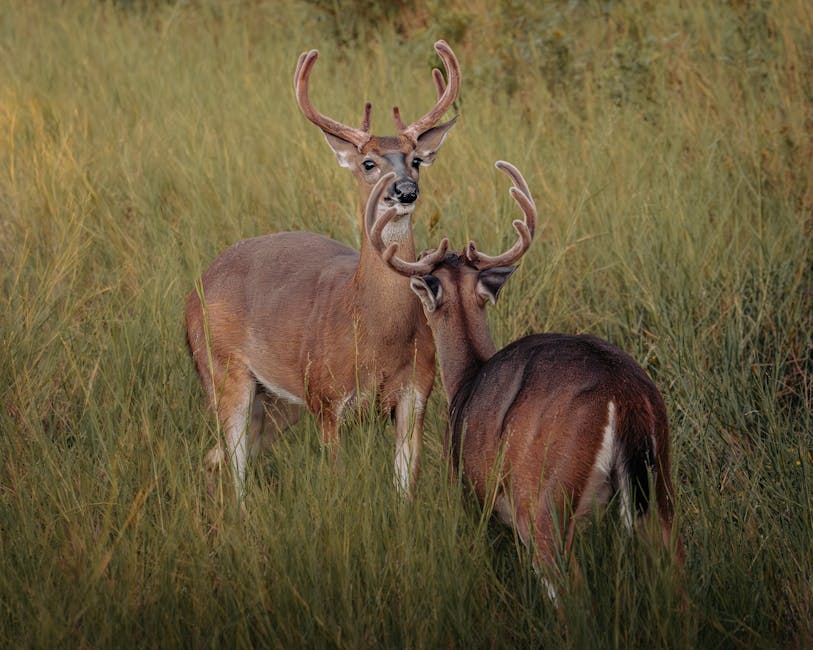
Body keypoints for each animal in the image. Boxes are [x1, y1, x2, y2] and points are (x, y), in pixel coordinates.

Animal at [185, 41, 461, 499]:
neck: (372, 330)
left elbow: (406, 487)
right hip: (223, 368)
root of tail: (193, 292)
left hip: (276, 400)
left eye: (417, 160)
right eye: (368, 163)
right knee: (234, 463)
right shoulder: (325, 397)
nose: (405, 190)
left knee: (215, 458)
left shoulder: (416, 393)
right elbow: (336, 479)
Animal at [368, 161, 685, 598]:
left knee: (569, 585)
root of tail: (624, 396)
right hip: (661, 483)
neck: (465, 381)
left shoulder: (471, 492)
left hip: (543, 496)